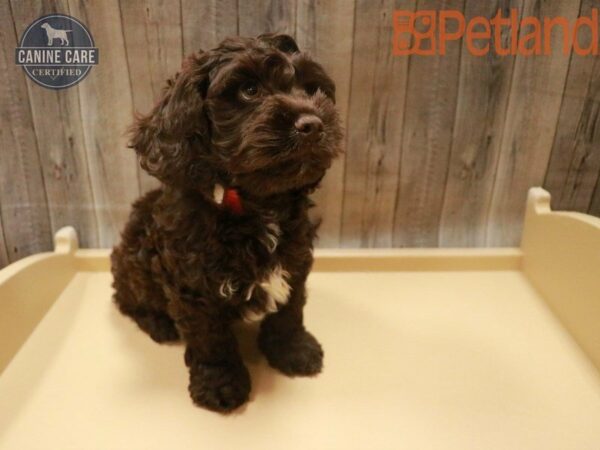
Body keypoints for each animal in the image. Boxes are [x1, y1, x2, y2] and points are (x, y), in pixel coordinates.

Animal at [111, 33, 342, 412]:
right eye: (249, 90)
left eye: (312, 89)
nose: (312, 125)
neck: (257, 205)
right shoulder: (193, 288)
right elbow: (211, 340)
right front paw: (220, 386)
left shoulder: (295, 262)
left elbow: (289, 312)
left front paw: (294, 352)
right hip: (132, 263)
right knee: (126, 299)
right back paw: (160, 325)